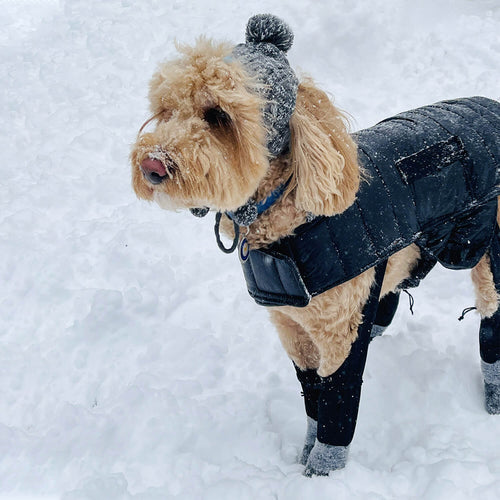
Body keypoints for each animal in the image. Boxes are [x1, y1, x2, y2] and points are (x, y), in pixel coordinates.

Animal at [130, 14, 500, 476]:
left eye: (218, 116)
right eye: (165, 111)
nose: (151, 166)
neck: (287, 212)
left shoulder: (339, 333)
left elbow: (337, 406)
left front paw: (322, 471)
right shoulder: (294, 330)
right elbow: (313, 400)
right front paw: (305, 452)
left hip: (488, 253)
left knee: (491, 318)